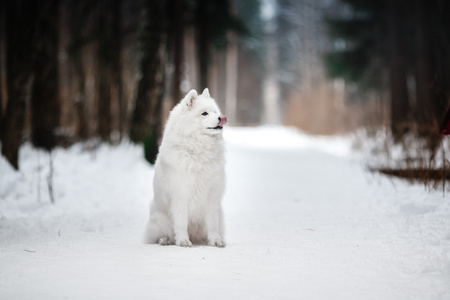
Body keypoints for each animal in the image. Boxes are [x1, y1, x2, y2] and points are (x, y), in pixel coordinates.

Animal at [144, 88, 227, 247]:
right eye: (204, 113)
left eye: (214, 111)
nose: (221, 117)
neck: (198, 151)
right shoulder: (181, 194)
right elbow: (181, 222)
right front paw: (183, 240)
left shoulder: (212, 197)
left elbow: (212, 224)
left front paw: (215, 240)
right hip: (160, 218)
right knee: (160, 235)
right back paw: (166, 240)